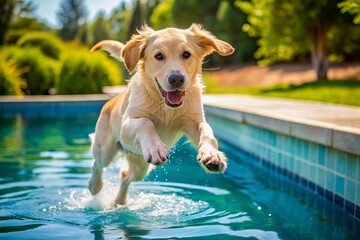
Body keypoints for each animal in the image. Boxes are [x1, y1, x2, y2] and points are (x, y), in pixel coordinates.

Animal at [87, 23, 233, 204]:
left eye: (186, 54)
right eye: (158, 56)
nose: (176, 79)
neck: (166, 107)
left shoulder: (193, 121)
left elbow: (207, 132)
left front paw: (212, 155)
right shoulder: (127, 125)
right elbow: (146, 122)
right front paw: (155, 147)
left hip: (141, 165)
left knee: (125, 175)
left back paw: (119, 202)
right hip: (106, 149)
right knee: (97, 165)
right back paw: (94, 185)